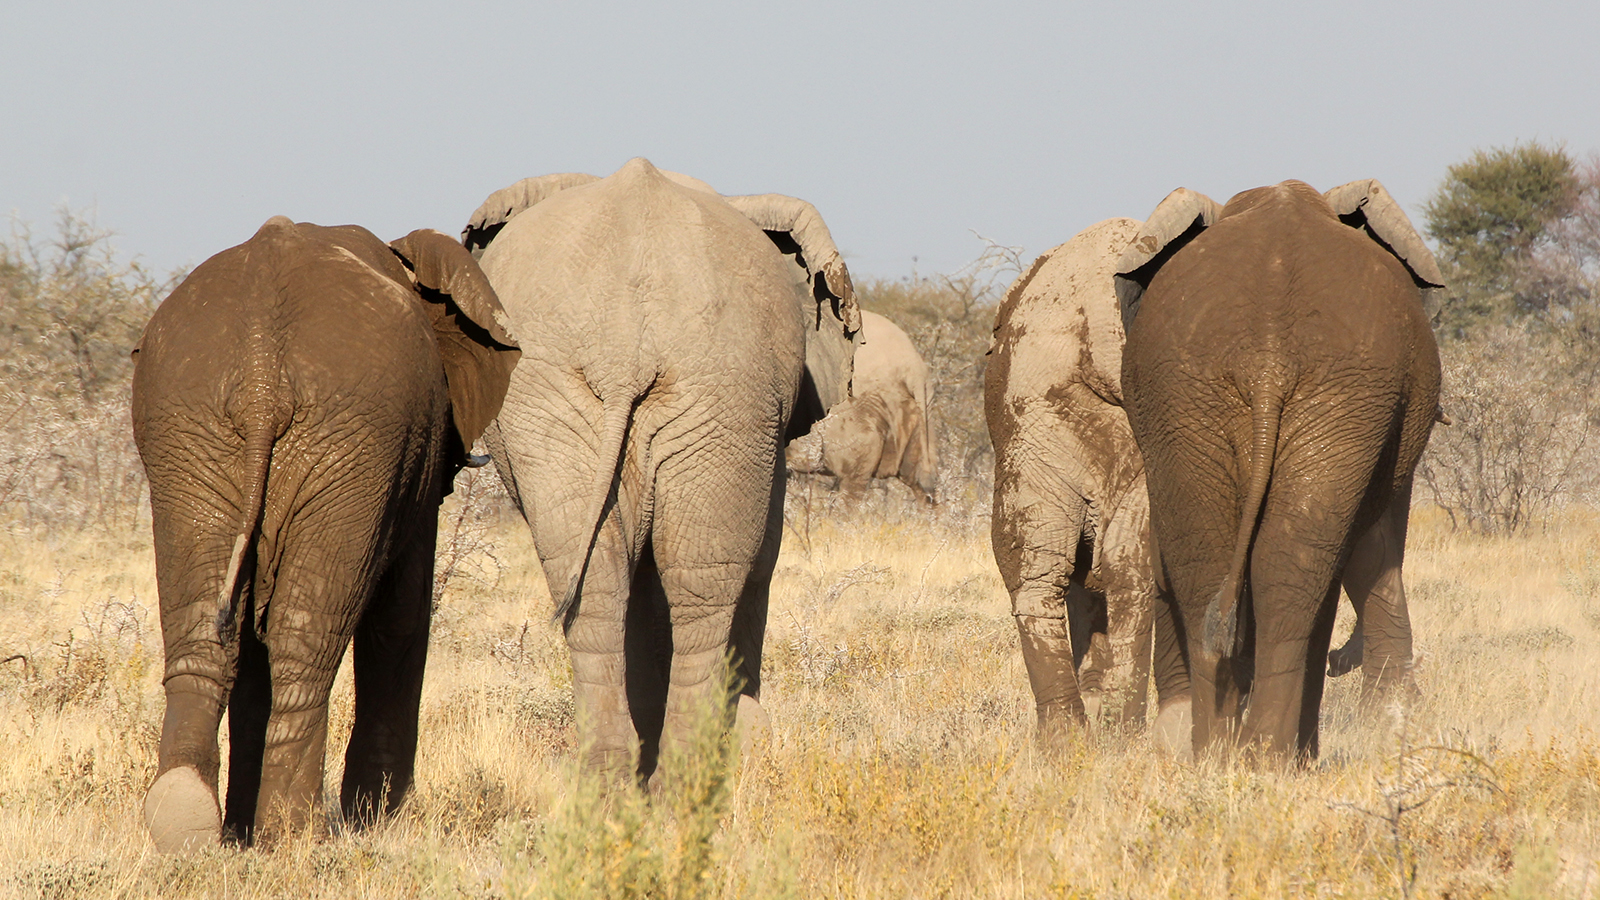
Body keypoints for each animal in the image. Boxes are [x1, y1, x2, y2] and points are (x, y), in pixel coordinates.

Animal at [133, 217, 518, 845]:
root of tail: (262, 368)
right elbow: (403, 615)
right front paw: (378, 818)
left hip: (190, 427)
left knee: (208, 631)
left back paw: (191, 822)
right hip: (353, 439)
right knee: (303, 637)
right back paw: (295, 836)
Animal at [464, 159, 864, 778]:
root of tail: (624, 347)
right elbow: (761, 557)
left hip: (618, 394)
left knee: (610, 578)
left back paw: (619, 778)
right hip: (715, 390)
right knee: (700, 579)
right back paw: (688, 772)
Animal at [1113, 178, 1452, 759]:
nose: (1344, 662)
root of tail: (1267, 359)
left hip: (1200, 395)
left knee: (1225, 560)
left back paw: (1229, 758)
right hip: (1322, 396)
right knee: (1293, 565)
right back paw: (1264, 759)